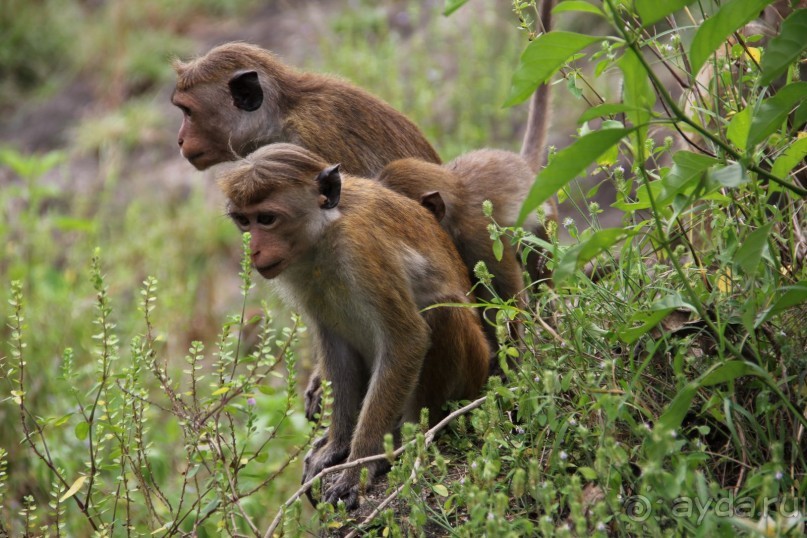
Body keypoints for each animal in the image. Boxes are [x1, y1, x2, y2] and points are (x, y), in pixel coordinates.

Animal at [218, 141, 490, 506]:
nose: (255, 251)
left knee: (441, 313)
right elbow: (336, 347)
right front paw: (336, 447)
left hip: (473, 369)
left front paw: (359, 466)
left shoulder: (363, 248)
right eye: (243, 220)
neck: (325, 231)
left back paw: (412, 436)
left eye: (267, 219)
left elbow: (407, 340)